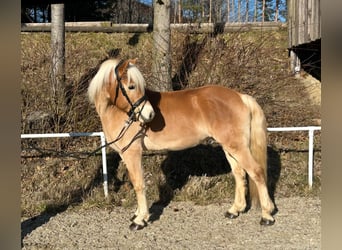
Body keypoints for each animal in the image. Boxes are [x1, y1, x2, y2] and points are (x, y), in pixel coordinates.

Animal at [88, 57, 276, 229]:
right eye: (132, 86)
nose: (149, 114)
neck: (117, 113)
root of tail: (241, 97)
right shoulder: (125, 154)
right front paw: (137, 214)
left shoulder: (132, 152)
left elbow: (138, 183)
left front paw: (140, 219)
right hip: (230, 147)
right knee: (239, 174)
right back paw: (234, 210)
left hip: (238, 147)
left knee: (256, 172)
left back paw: (266, 216)